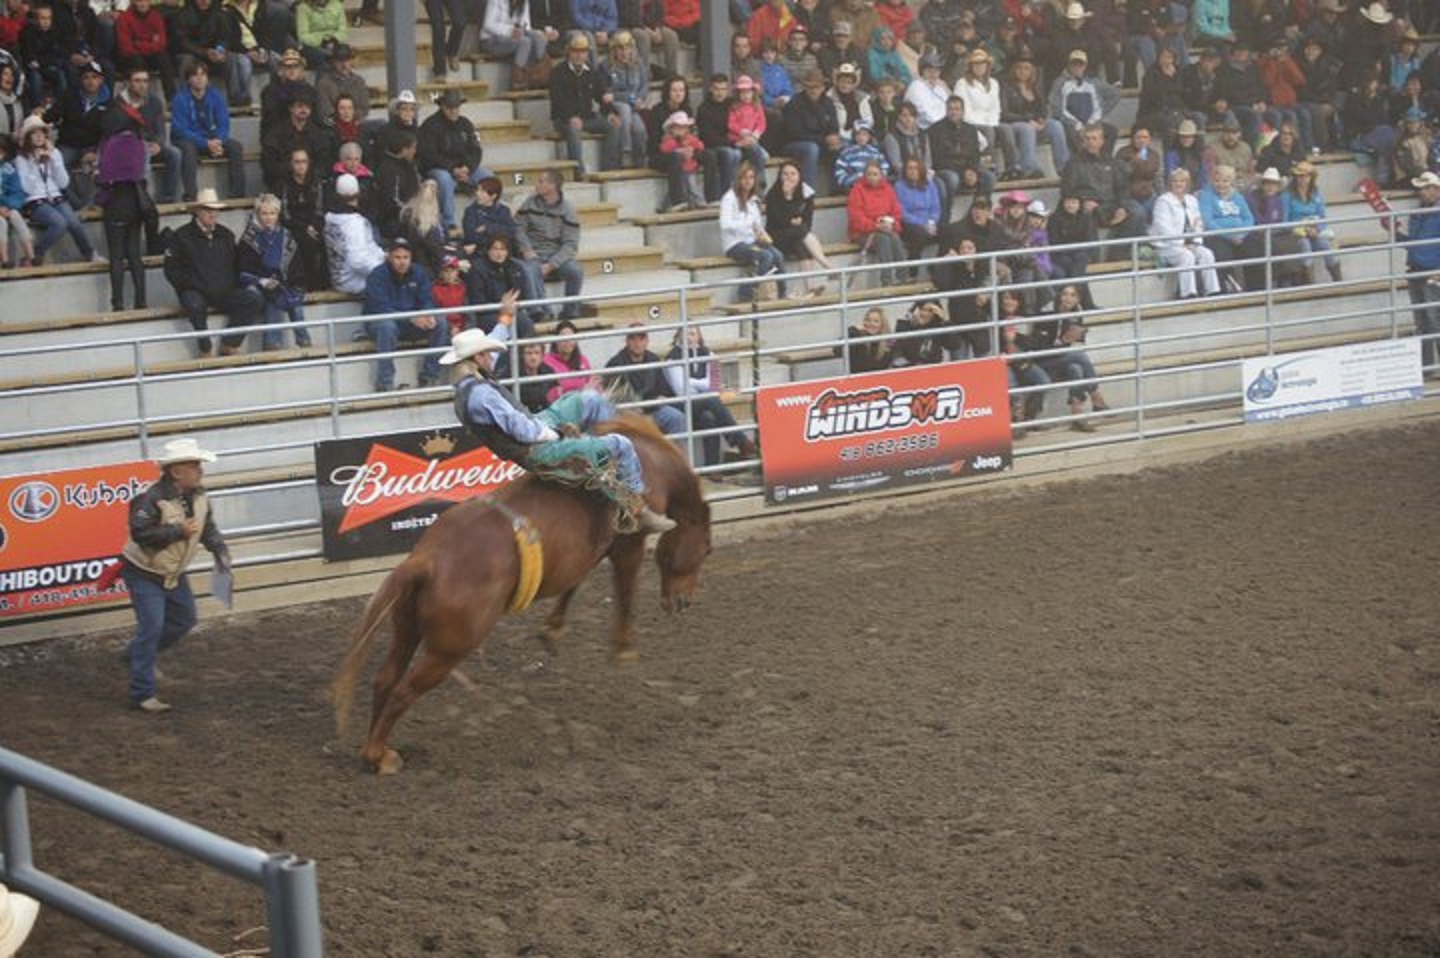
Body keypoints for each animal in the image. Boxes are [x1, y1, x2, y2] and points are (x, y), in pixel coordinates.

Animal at [328, 414, 708, 772]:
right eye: (706, 550)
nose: (683, 602)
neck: (652, 462)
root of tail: (427, 560)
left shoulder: (591, 551)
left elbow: (575, 582)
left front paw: (552, 630)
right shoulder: (629, 541)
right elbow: (625, 587)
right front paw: (625, 648)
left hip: (407, 627)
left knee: (385, 679)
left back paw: (375, 751)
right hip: (449, 648)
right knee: (403, 691)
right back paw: (380, 758)